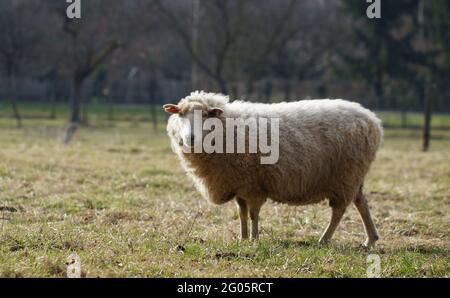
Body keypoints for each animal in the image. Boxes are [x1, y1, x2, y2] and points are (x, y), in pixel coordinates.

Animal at [163, 90, 382, 247]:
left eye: (206, 115)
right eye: (180, 114)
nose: (190, 138)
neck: (227, 130)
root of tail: (372, 120)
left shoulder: (254, 185)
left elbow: (253, 214)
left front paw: (254, 239)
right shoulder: (240, 184)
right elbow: (242, 213)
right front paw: (243, 238)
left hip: (345, 175)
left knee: (339, 210)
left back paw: (324, 239)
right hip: (353, 176)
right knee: (361, 202)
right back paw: (370, 240)